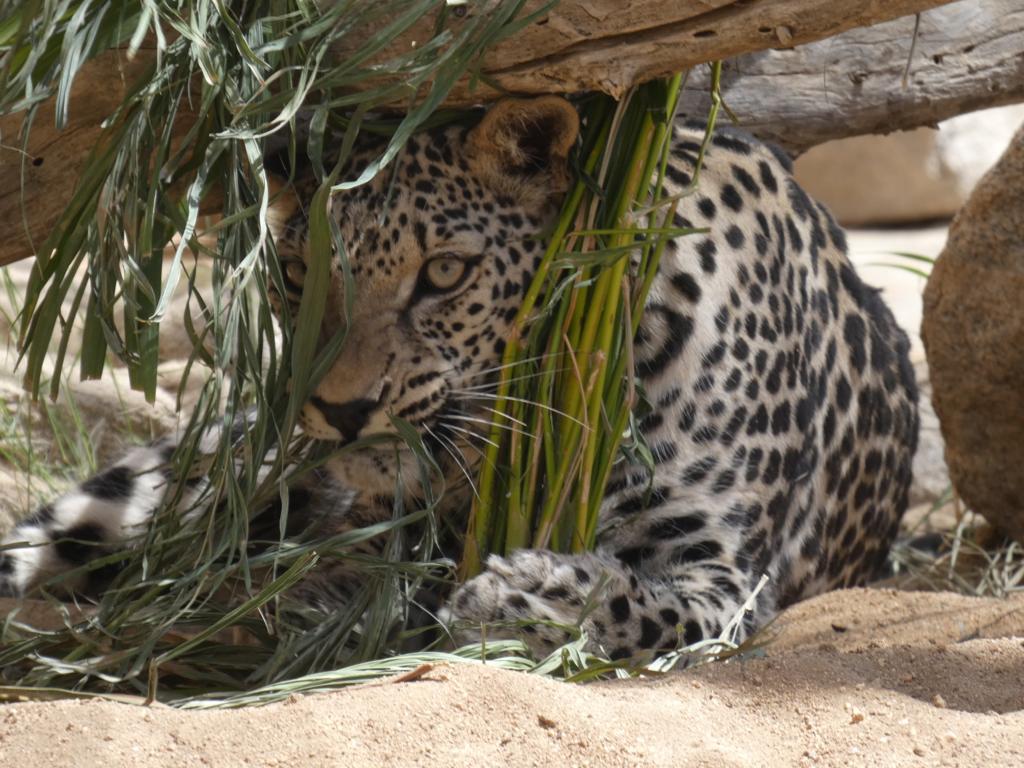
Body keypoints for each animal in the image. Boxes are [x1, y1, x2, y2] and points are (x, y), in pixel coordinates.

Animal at [0, 96, 921, 663]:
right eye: (297, 275)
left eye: (444, 273)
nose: (342, 410)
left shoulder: (723, 577)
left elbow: (644, 610)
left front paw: (517, 595)